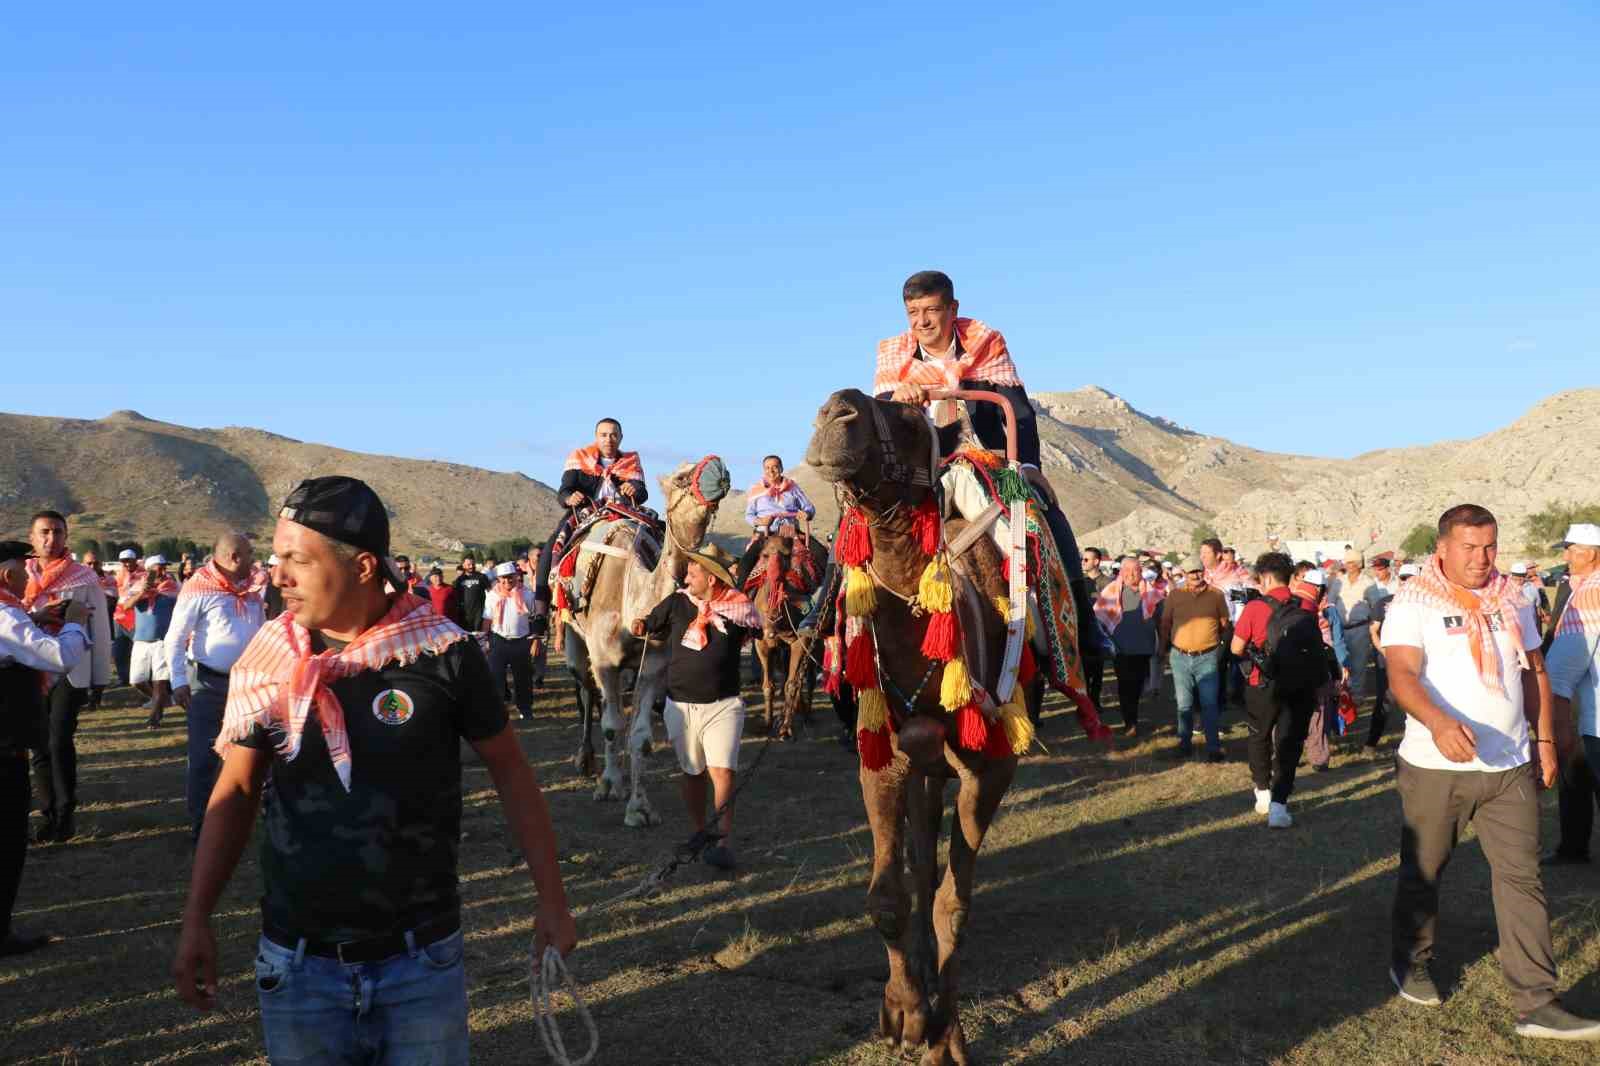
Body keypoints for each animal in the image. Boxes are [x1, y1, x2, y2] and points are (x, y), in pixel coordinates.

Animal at [550, 454, 726, 819]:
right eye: (681, 477)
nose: (720, 468)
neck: (634, 606)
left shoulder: (653, 665)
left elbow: (641, 736)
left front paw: (640, 806)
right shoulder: (604, 660)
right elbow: (612, 725)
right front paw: (609, 786)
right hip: (573, 638)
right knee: (588, 691)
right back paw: (587, 760)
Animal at [800, 385, 1100, 1062]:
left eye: (913, 419)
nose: (835, 412)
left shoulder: (991, 769)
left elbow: (954, 905)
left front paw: (946, 1034)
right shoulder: (883, 758)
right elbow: (891, 895)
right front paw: (906, 1012)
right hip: (923, 767)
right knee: (919, 865)